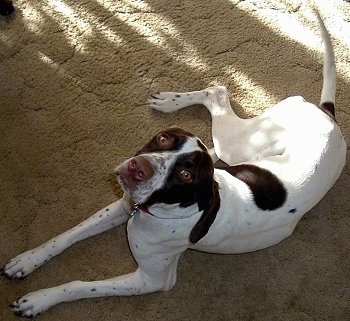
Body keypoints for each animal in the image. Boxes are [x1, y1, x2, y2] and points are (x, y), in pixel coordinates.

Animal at [1, 10, 346, 318]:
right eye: (164, 139)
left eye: (185, 174)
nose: (137, 168)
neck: (155, 212)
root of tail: (327, 115)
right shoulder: (121, 205)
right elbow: (65, 236)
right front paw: (27, 260)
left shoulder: (150, 280)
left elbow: (79, 285)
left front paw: (39, 299)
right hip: (239, 146)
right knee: (217, 95)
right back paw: (171, 102)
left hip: (236, 143)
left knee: (219, 94)